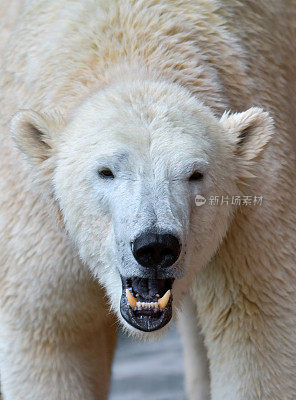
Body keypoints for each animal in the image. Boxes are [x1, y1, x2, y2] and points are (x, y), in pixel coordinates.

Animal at [0, 0, 296, 398]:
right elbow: (54, 332)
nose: (155, 246)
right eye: (106, 171)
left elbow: (256, 330)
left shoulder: (253, 209)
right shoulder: (36, 222)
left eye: (195, 174)